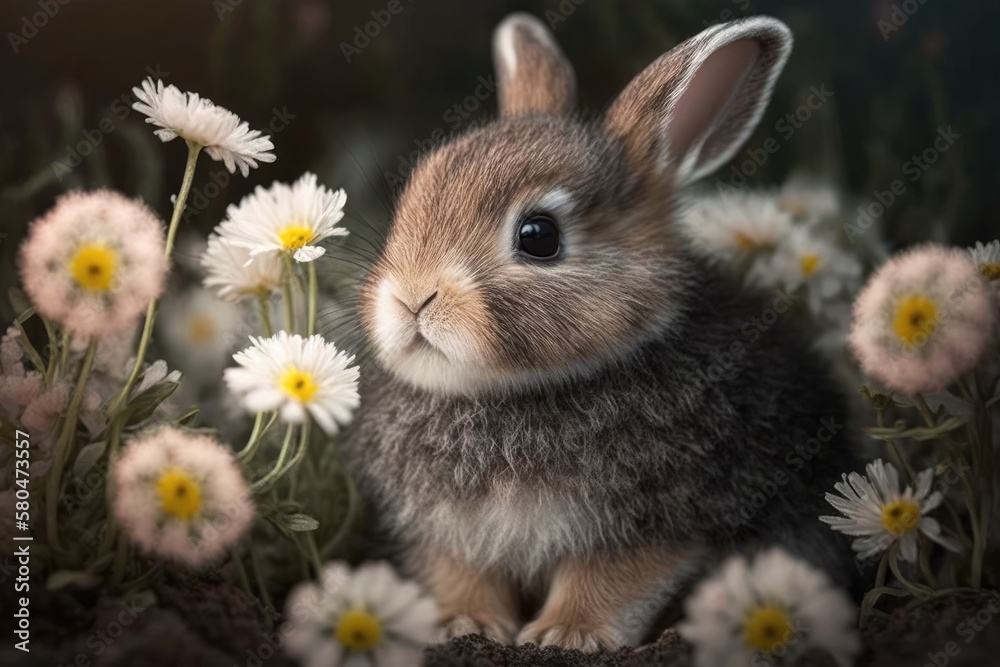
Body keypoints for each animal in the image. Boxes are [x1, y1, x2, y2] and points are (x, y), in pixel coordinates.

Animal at [342, 12, 858, 652]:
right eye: (411, 199)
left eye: (539, 235)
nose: (412, 297)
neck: (514, 394)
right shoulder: (446, 532)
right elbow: (460, 573)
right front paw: (461, 624)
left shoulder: (656, 526)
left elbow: (608, 580)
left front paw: (566, 635)